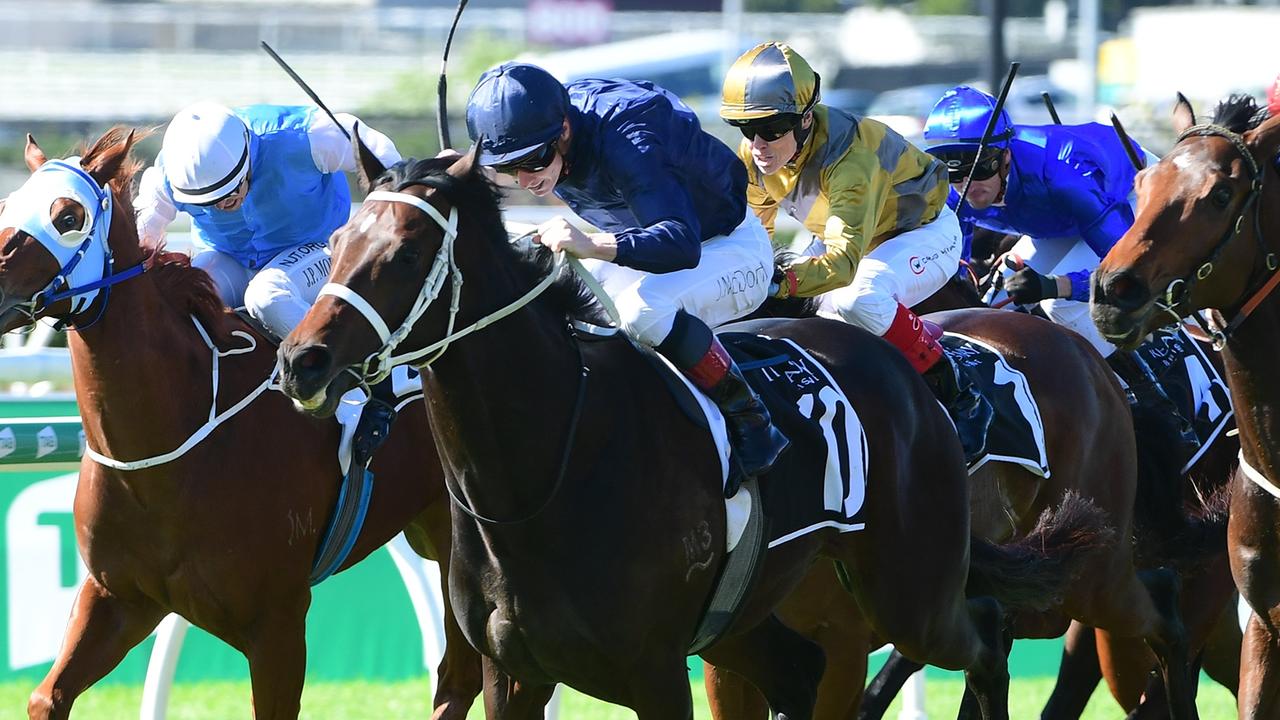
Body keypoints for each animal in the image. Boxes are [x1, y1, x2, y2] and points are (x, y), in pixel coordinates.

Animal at [272, 142, 1131, 712]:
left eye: (406, 251)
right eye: (338, 242)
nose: (301, 361)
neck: (545, 472)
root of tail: (916, 386)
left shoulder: (654, 673)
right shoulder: (511, 672)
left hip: (910, 587)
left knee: (986, 638)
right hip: (755, 621)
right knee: (808, 672)